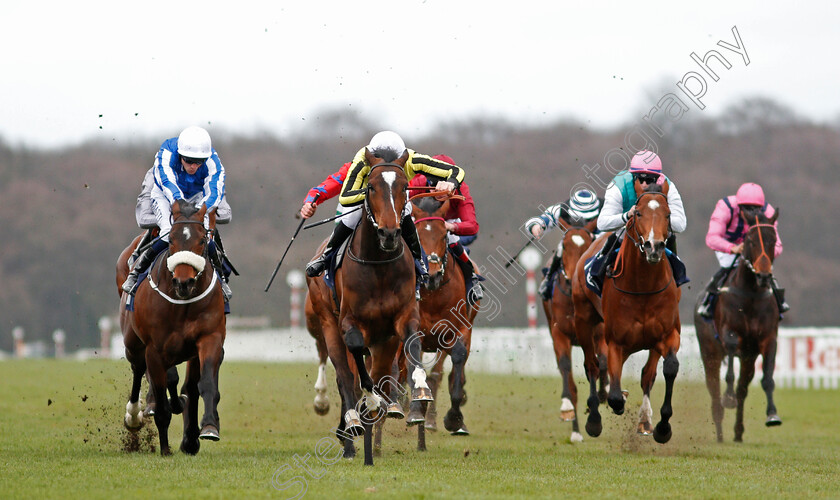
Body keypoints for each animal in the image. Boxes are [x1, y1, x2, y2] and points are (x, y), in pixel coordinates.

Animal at [116, 198, 226, 454]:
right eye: (172, 239)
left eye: (202, 240)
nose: (183, 282)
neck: (183, 302)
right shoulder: (154, 349)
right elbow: (162, 388)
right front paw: (165, 449)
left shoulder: (209, 338)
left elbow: (203, 383)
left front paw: (207, 428)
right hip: (133, 344)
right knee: (139, 370)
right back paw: (134, 416)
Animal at [318, 148, 430, 464]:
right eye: (370, 187)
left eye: (405, 187)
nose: (390, 233)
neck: (378, 264)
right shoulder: (349, 323)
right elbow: (356, 364)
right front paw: (368, 402)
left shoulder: (403, 317)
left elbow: (412, 343)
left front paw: (420, 390)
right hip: (329, 328)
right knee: (346, 376)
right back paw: (352, 423)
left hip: (384, 341)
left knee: (380, 370)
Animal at [540, 219, 608, 442]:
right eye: (565, 246)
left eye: (587, 245)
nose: (573, 278)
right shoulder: (559, 334)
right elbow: (565, 368)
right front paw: (567, 406)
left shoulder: (599, 333)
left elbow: (603, 362)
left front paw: (604, 392)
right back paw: (576, 430)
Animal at [572, 181, 684, 446]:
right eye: (639, 213)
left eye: (668, 214)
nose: (654, 247)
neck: (642, 286)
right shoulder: (615, 341)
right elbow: (612, 392)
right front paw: (615, 402)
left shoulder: (667, 335)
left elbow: (668, 368)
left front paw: (662, 427)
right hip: (583, 320)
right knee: (592, 366)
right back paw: (594, 418)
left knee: (646, 374)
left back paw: (644, 420)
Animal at [692, 209, 784, 444]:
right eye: (750, 241)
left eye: (773, 240)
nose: (763, 275)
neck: (751, 293)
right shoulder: (730, 334)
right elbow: (729, 375)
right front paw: (728, 397)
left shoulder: (767, 340)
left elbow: (767, 379)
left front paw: (772, 414)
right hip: (709, 353)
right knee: (714, 388)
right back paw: (719, 431)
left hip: (749, 358)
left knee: (743, 388)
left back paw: (738, 432)